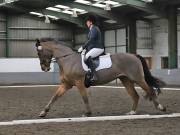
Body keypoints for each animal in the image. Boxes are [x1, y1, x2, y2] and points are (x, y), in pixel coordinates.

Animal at [34, 37, 166, 117]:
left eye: (39, 53)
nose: (44, 68)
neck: (68, 59)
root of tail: (134, 55)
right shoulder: (66, 84)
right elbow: (54, 97)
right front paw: (43, 112)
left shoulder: (79, 83)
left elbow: (85, 98)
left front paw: (87, 113)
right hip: (126, 80)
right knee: (135, 95)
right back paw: (132, 112)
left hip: (137, 78)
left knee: (150, 90)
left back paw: (161, 108)